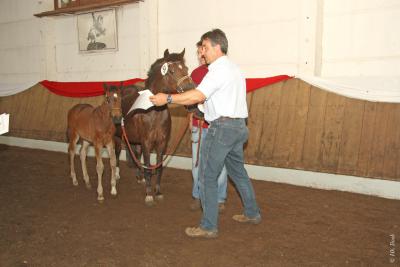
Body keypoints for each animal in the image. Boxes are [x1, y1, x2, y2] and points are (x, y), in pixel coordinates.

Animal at [113, 48, 196, 207]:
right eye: (171, 70)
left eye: (186, 68)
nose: (190, 89)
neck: (153, 112)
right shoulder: (147, 143)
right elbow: (148, 166)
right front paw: (149, 195)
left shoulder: (161, 143)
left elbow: (158, 167)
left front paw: (157, 192)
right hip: (118, 136)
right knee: (117, 153)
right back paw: (117, 175)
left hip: (135, 140)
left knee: (136, 155)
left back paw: (139, 178)